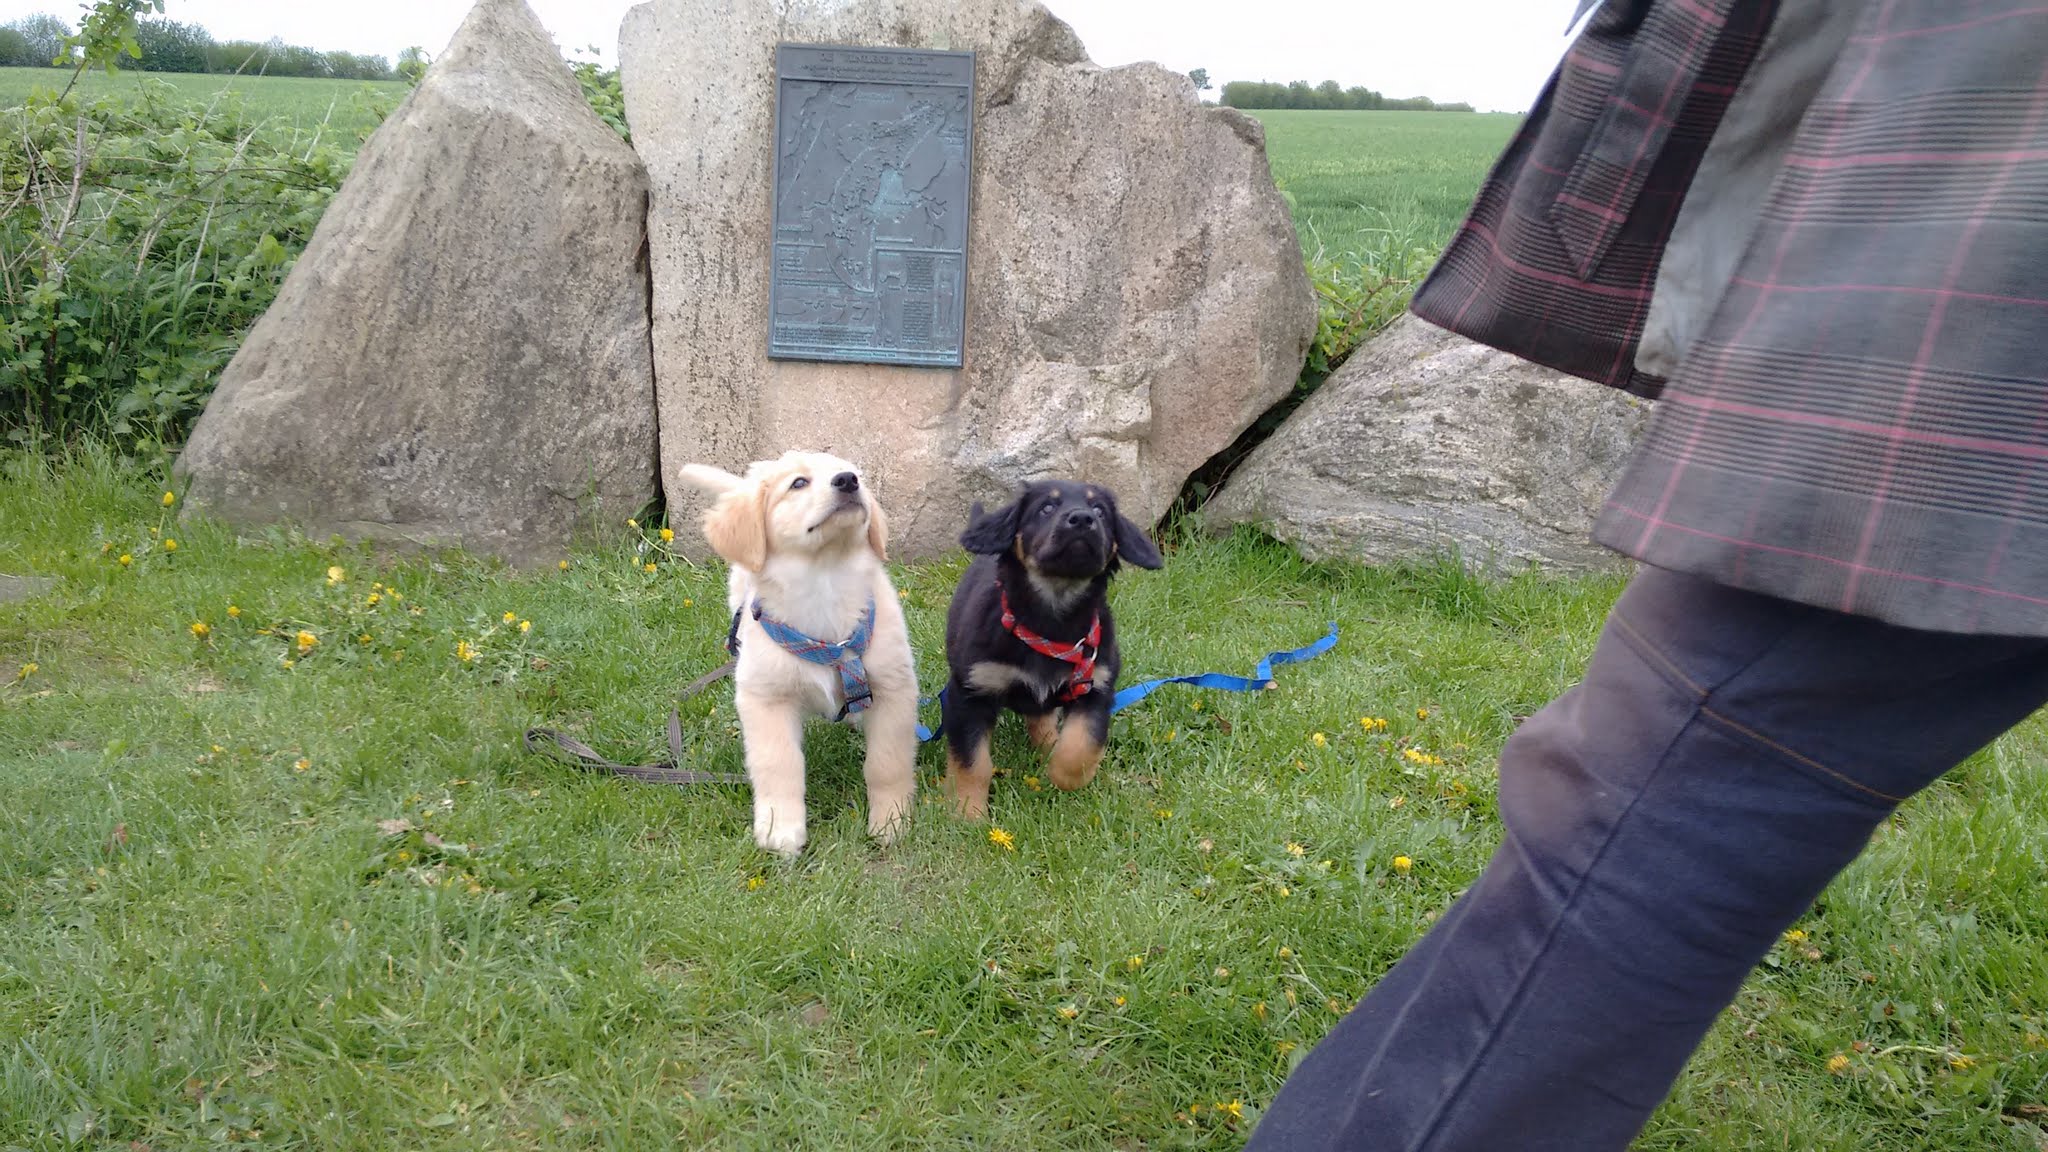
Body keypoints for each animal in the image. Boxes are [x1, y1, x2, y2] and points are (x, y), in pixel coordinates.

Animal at [676, 451, 918, 857]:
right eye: (798, 483)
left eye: (857, 476)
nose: (848, 480)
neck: (824, 579)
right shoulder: (765, 697)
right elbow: (779, 763)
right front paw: (780, 829)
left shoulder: (893, 687)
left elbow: (887, 762)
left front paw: (891, 822)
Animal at [940, 479, 1163, 818]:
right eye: (1046, 507)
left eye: (1100, 510)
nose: (1083, 519)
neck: (1050, 622)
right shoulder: (971, 692)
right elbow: (972, 763)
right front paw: (967, 813)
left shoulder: (1096, 687)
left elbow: (1081, 745)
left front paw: (1062, 774)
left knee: (1042, 718)